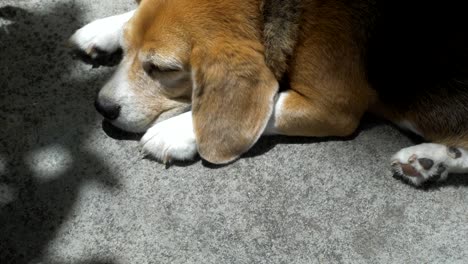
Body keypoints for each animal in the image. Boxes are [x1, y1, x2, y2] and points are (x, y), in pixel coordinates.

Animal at [69, 0, 468, 186]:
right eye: (128, 48)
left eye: (163, 70)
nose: (102, 107)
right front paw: (105, 29)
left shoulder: (334, 106)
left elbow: (271, 105)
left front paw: (176, 133)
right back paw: (431, 161)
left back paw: (430, 159)